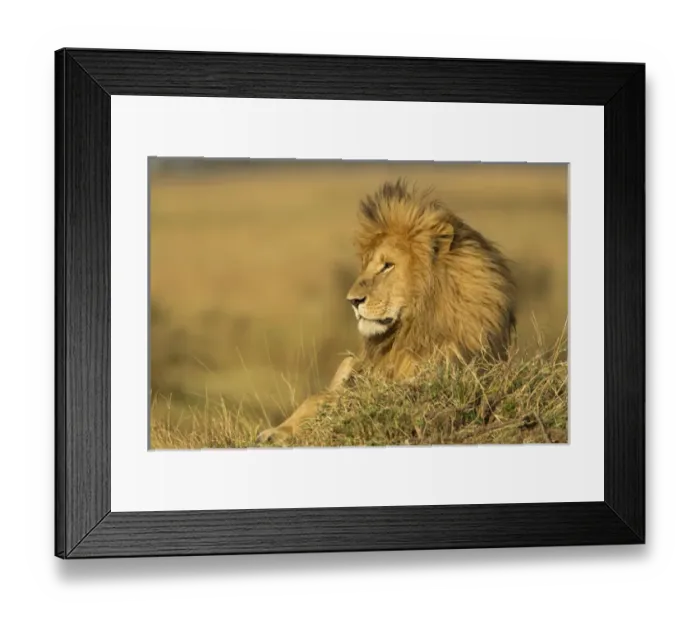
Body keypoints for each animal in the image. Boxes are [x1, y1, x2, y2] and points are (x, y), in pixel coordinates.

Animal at [257, 179, 516, 444]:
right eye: (367, 265)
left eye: (387, 266)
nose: (352, 301)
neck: (415, 328)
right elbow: (320, 398)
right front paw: (276, 431)